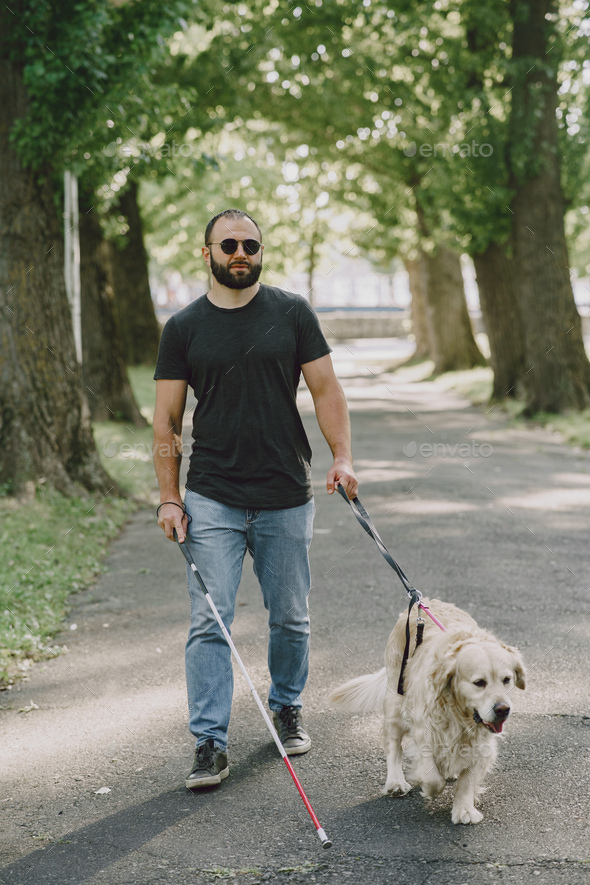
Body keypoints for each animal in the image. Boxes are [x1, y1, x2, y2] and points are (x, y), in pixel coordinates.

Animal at [330, 596, 528, 824]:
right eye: (479, 683)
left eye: (507, 680)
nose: (503, 709)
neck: (459, 714)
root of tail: (421, 600)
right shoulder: (425, 731)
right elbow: (433, 777)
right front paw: (430, 789)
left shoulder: (481, 741)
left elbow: (468, 779)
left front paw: (464, 808)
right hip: (395, 704)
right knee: (392, 745)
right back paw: (396, 782)